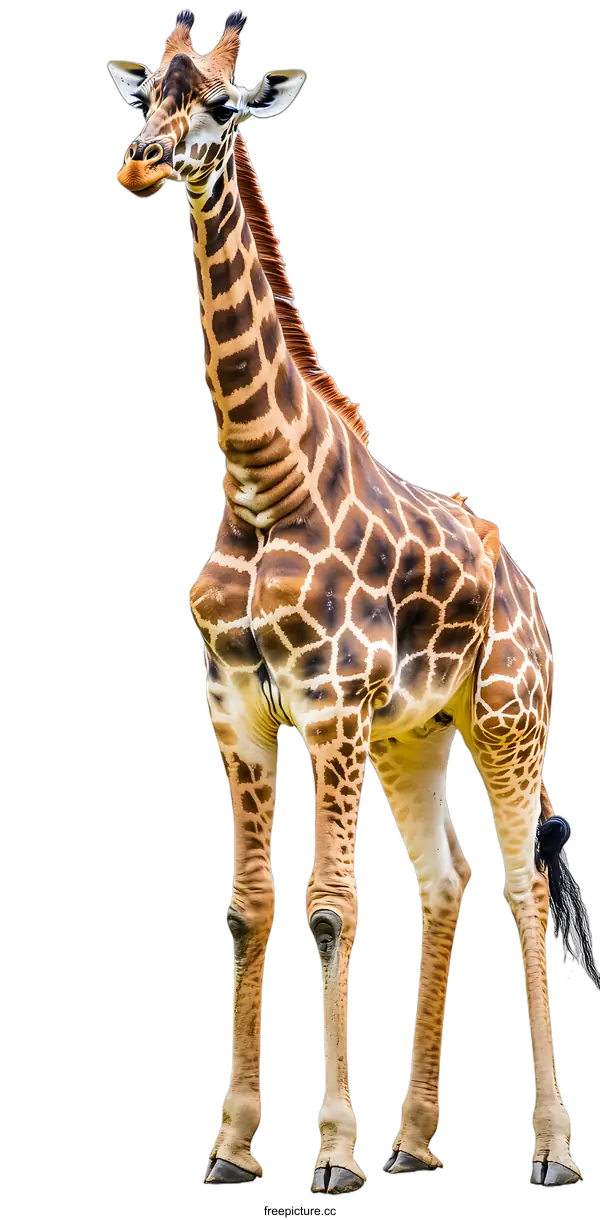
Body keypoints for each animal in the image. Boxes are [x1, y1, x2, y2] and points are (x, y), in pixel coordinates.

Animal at [108, 9, 598, 1196]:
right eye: (145, 97)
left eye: (221, 107)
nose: (139, 162)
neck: (261, 481)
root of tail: (530, 591)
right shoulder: (237, 707)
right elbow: (248, 910)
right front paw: (234, 1151)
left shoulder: (327, 703)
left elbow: (330, 909)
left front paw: (330, 1152)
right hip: (414, 733)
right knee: (449, 880)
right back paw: (416, 1142)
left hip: (507, 718)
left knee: (522, 886)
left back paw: (553, 1151)